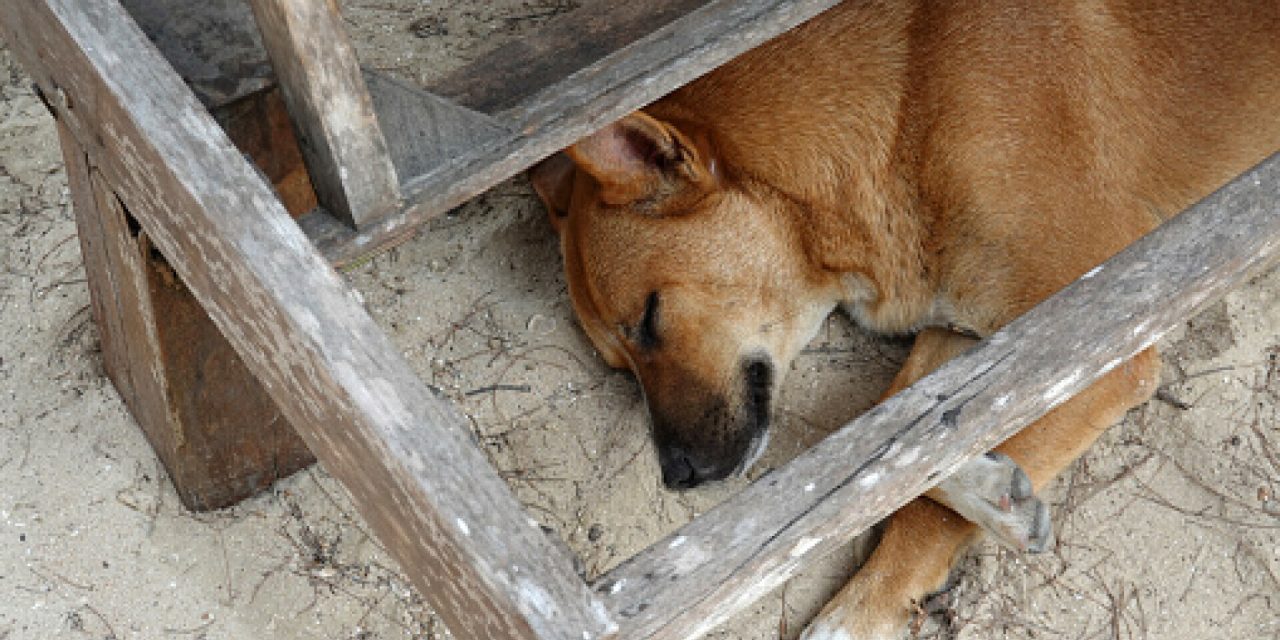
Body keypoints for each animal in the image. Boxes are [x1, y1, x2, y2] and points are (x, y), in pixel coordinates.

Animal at [529, 2, 1280, 637]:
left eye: (651, 317)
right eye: (620, 364)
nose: (678, 476)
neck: (902, 117)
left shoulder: (1096, 327)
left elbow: (893, 448)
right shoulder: (968, 333)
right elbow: (893, 441)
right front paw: (983, 488)